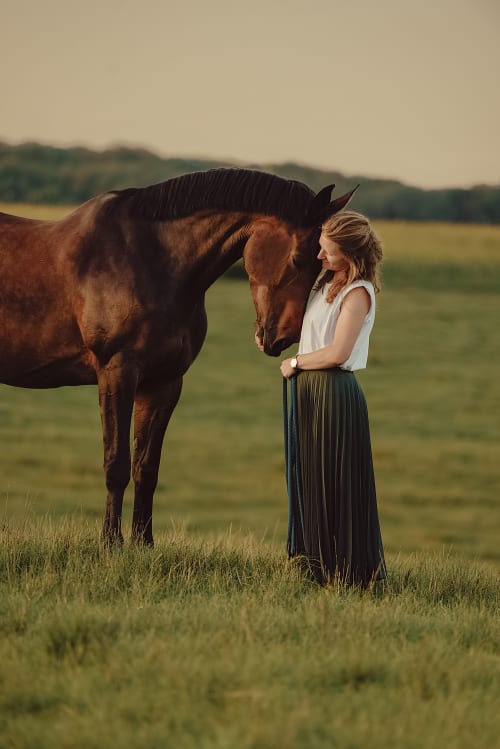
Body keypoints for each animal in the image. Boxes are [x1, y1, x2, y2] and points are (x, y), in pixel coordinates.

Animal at [0, 168, 356, 544]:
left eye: (322, 265)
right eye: (299, 259)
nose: (283, 337)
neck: (151, 261)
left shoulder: (165, 382)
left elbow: (146, 467)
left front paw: (143, 543)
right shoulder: (117, 372)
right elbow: (116, 463)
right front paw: (111, 542)